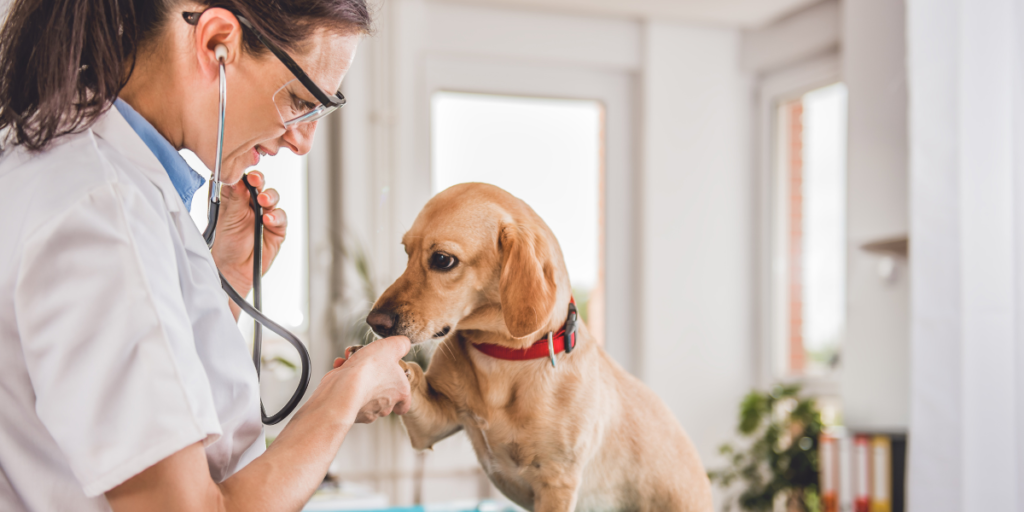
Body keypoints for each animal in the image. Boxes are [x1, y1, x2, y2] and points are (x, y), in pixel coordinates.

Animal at [366, 184, 712, 512]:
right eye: (406, 252)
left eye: (442, 259)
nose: (374, 322)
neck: (502, 358)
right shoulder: (432, 426)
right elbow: (412, 377)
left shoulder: (557, 482)